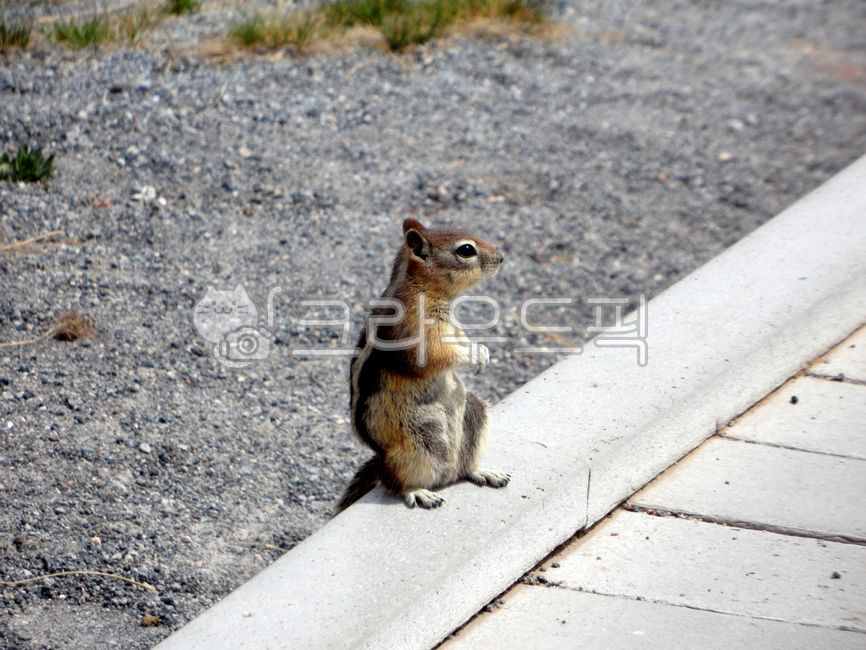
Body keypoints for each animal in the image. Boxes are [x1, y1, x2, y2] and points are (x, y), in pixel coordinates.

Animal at [337, 218, 510, 511]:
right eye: (466, 250)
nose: (500, 258)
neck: (423, 287)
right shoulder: (414, 326)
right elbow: (436, 355)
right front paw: (473, 357)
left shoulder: (453, 327)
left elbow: (462, 339)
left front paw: (482, 352)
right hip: (419, 440)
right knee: (393, 482)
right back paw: (419, 492)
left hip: (474, 415)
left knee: (465, 467)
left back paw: (484, 472)